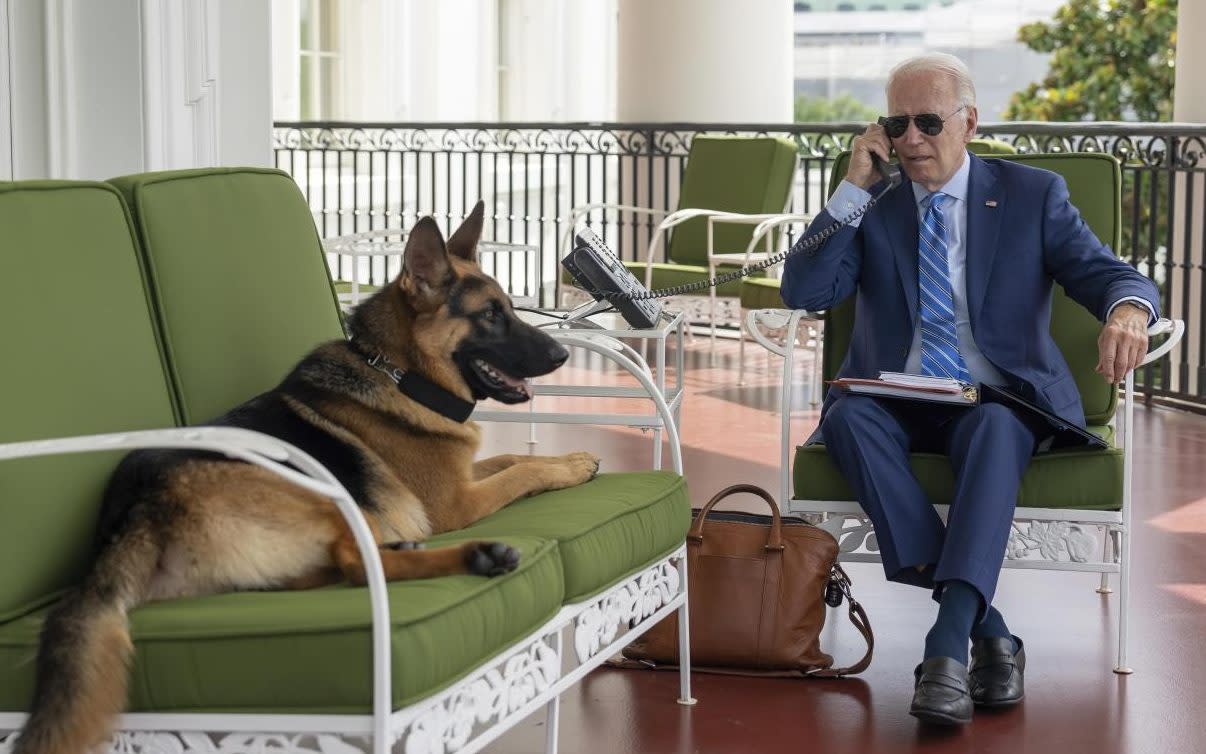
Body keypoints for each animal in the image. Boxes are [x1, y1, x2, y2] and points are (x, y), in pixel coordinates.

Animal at [16, 201, 600, 752]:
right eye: (491, 316)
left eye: (510, 310)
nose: (562, 353)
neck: (401, 375)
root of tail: (132, 513)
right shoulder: (454, 503)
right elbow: (520, 472)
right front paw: (572, 465)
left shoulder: (463, 476)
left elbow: (510, 459)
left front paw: (569, 458)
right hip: (323, 498)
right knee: (354, 565)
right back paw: (476, 555)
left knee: (333, 569)